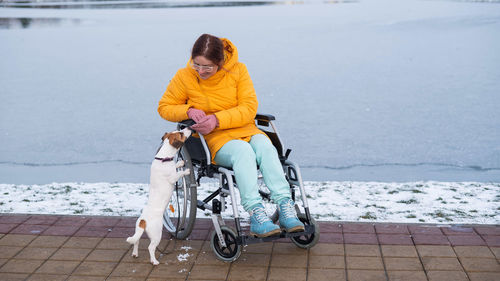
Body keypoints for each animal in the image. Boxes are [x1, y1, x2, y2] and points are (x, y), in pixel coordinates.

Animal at [127, 127, 191, 264]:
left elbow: (175, 165)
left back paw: (135, 254)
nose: (189, 127)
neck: (163, 158)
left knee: (136, 242)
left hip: (138, 231)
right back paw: (154, 261)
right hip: (157, 234)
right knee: (150, 247)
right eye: (181, 133)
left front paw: (180, 163)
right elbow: (178, 174)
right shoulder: (172, 178)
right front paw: (186, 170)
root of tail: (143, 221)